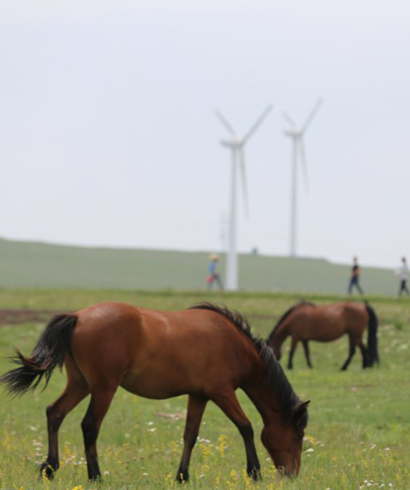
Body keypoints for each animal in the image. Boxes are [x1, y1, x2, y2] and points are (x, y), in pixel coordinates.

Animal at [0, 302, 308, 482]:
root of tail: (77, 316)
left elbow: (190, 435)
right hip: (103, 388)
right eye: (298, 434)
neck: (233, 342)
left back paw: (50, 468)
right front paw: (254, 472)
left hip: (80, 384)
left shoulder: (199, 395)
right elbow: (246, 427)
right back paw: (95, 476)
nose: (293, 475)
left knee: (55, 413)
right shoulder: (221, 392)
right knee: (89, 426)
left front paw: (182, 476)